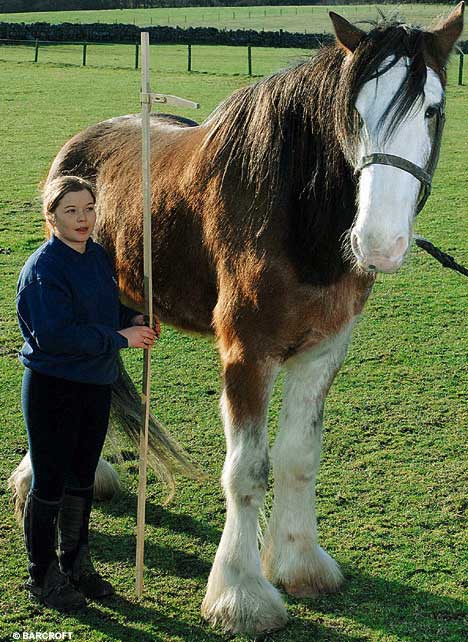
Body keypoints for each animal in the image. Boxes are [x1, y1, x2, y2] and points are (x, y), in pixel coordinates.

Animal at [10, 3, 464, 636]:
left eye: (432, 109)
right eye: (354, 113)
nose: (379, 243)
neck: (297, 221)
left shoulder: (321, 353)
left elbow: (298, 459)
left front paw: (299, 564)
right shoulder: (248, 353)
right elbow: (247, 471)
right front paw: (241, 594)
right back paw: (34, 478)